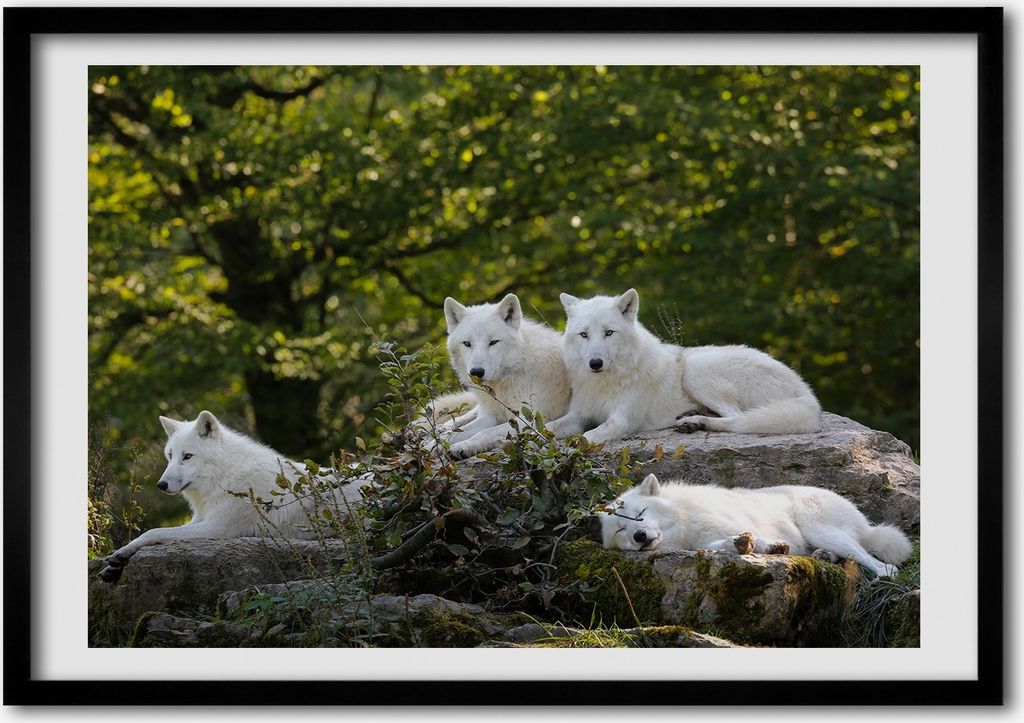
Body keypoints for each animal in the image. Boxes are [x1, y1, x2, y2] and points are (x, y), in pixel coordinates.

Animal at [97, 410, 362, 582]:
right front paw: (117, 560)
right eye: (170, 455)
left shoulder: (216, 528)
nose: (161, 485)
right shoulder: (199, 520)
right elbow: (147, 535)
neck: (225, 476)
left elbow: (154, 532)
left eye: (188, 456)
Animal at [441, 293, 572, 458]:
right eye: (467, 343)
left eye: (493, 342)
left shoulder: (528, 421)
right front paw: (433, 444)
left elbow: (484, 433)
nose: (476, 372)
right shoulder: (490, 415)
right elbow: (455, 434)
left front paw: (463, 446)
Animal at [546, 288, 821, 444]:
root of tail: (806, 394)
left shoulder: (623, 420)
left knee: (740, 419)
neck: (607, 381)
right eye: (584, 334)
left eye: (609, 333)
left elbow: (587, 437)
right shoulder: (580, 414)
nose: (595, 363)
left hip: (696, 370)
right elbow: (548, 427)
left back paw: (696, 421)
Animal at [600, 474, 911, 577]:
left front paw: (768, 546)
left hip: (820, 529)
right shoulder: (704, 542)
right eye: (620, 530)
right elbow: (722, 546)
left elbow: (757, 539)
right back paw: (822, 556)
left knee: (868, 557)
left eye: (640, 514)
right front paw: (744, 544)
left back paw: (886, 572)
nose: (640, 535)